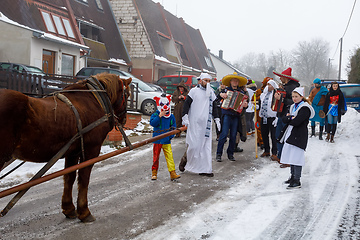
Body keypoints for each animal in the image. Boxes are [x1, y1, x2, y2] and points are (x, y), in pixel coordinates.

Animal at [0, 72, 131, 221]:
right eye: (127, 95)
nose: (124, 119)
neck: (94, 100)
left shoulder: (73, 152)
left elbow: (69, 177)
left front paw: (69, 208)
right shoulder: (92, 149)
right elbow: (84, 178)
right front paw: (84, 211)